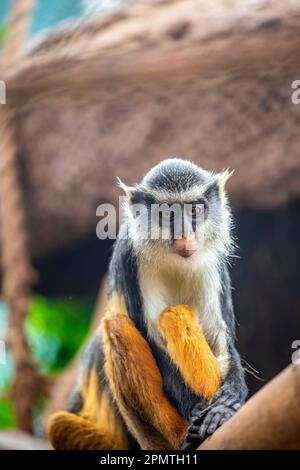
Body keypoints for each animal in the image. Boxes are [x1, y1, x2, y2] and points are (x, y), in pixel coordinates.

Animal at [48, 159, 247, 452]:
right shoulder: (132, 258)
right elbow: (153, 339)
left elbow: (219, 340)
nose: (185, 235)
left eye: (195, 210)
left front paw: (228, 404)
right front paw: (198, 408)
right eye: (168, 214)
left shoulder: (211, 265)